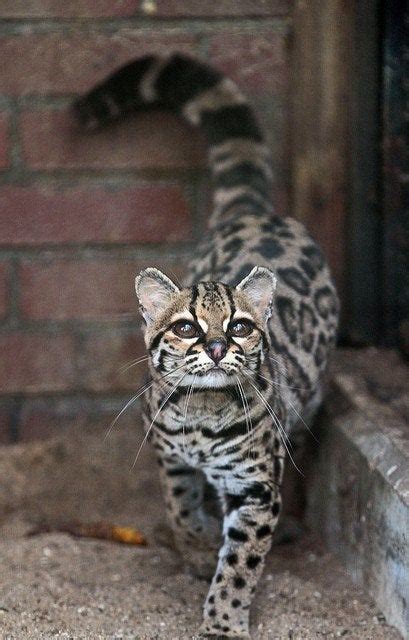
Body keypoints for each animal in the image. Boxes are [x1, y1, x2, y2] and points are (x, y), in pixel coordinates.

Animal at [73, 52, 338, 636]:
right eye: (186, 327)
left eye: (239, 326)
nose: (217, 347)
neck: (202, 414)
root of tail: (252, 212)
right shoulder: (163, 446)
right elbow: (178, 501)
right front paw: (194, 547)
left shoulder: (255, 486)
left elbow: (240, 562)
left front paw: (223, 621)